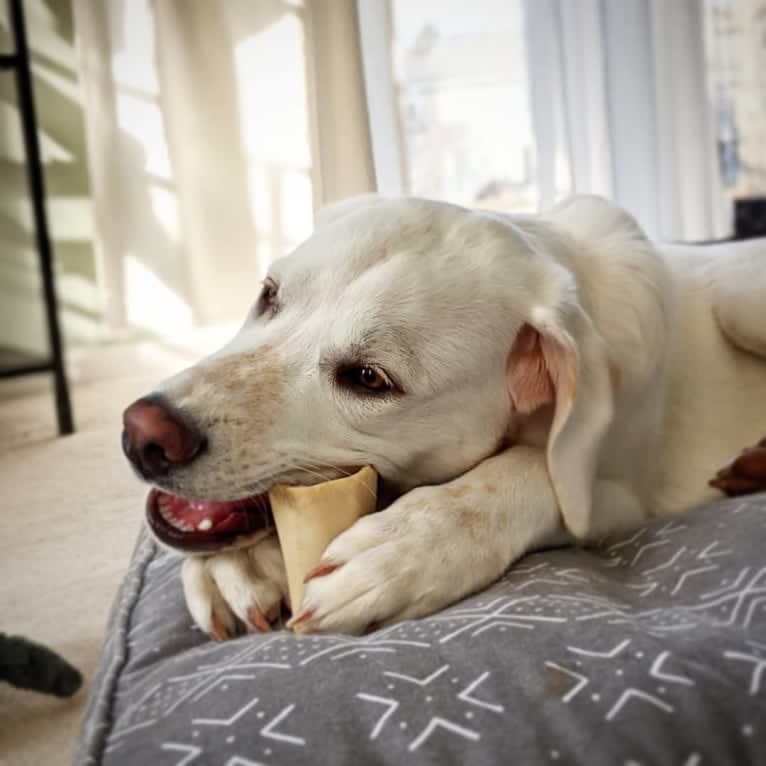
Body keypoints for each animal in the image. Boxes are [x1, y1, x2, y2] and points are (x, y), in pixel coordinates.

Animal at [120, 195, 766, 640]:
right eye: (269, 294)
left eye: (369, 378)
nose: (141, 432)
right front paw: (237, 565)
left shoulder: (619, 497)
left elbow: (532, 470)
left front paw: (408, 548)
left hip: (741, 296)